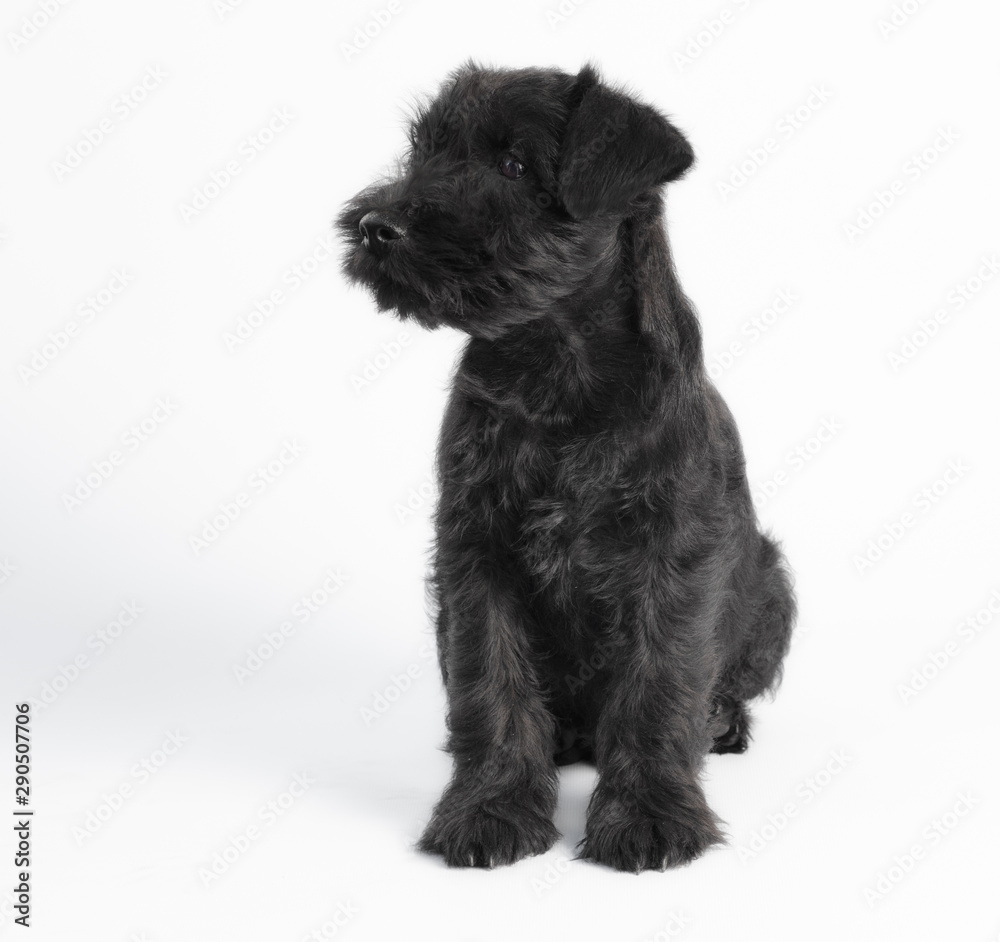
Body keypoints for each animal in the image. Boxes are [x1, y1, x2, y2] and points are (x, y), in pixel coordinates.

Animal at [340, 62, 792, 872]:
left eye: (516, 166)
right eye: (426, 153)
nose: (375, 227)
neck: (555, 365)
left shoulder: (670, 558)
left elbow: (658, 687)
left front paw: (648, 816)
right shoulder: (476, 553)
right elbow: (491, 686)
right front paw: (490, 808)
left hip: (770, 585)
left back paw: (721, 722)